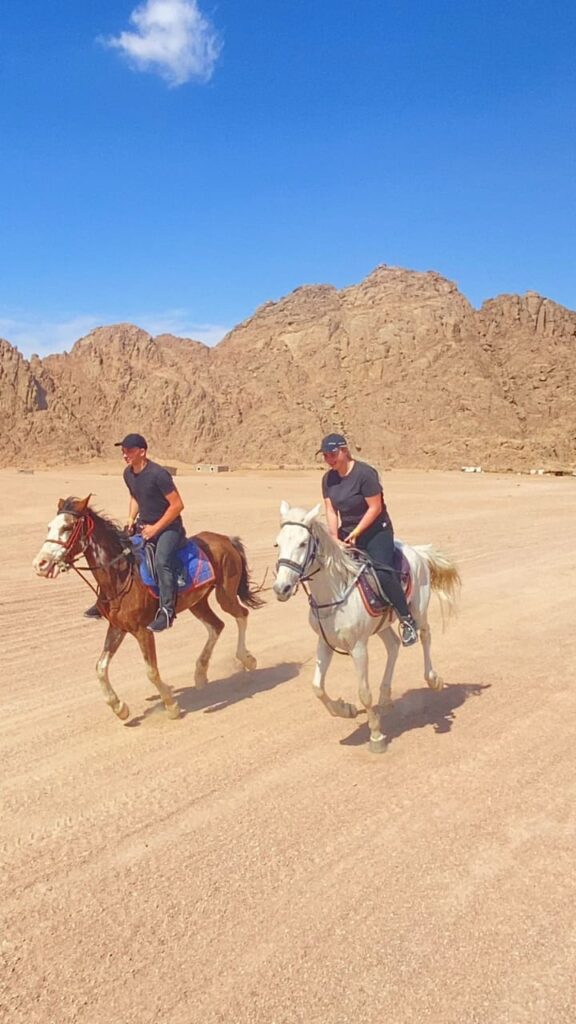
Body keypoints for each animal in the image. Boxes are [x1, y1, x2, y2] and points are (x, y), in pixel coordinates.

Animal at [32, 495, 261, 720]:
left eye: (67, 527)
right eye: (49, 526)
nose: (40, 564)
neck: (121, 574)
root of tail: (226, 539)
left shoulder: (143, 630)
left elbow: (151, 671)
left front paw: (171, 705)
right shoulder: (118, 627)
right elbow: (100, 667)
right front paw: (119, 707)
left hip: (225, 595)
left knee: (242, 615)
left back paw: (246, 659)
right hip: (198, 602)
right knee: (217, 626)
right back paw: (200, 674)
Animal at [272, 501, 457, 753]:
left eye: (302, 543)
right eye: (278, 543)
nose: (281, 588)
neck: (334, 593)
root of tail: (417, 551)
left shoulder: (358, 647)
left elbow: (363, 692)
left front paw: (376, 736)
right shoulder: (324, 643)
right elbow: (317, 687)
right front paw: (345, 709)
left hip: (419, 609)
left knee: (425, 636)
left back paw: (433, 679)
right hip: (382, 625)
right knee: (393, 645)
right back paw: (386, 698)